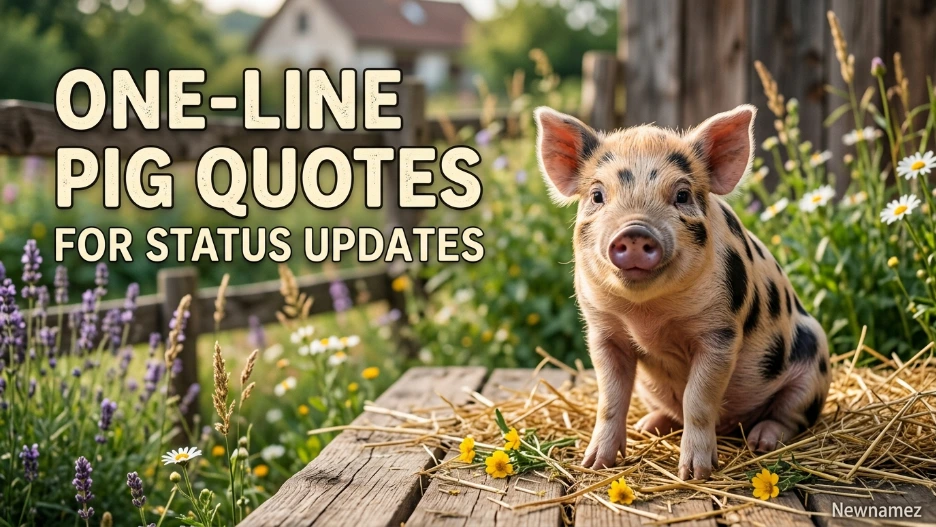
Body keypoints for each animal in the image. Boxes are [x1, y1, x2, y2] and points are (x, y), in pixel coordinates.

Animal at [534, 105, 831, 480]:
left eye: (682, 195)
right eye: (597, 195)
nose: (634, 231)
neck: (646, 316)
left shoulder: (719, 332)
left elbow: (697, 400)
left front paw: (695, 474)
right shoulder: (603, 331)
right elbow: (610, 399)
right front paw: (595, 464)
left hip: (814, 368)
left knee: (790, 416)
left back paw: (761, 441)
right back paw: (648, 425)